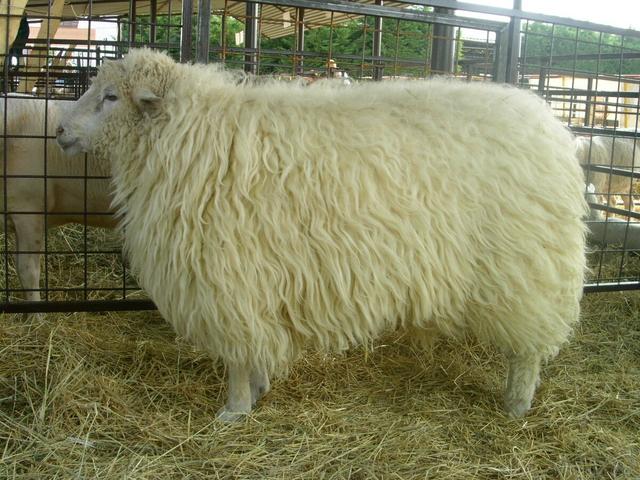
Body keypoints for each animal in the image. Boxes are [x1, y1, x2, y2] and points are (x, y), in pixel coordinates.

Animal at [56, 49, 587, 421]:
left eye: (110, 97)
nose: (59, 131)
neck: (186, 136)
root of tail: (550, 124)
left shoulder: (225, 277)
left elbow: (236, 353)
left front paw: (234, 409)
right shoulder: (250, 279)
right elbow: (254, 345)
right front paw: (259, 388)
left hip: (526, 267)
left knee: (529, 348)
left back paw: (517, 402)